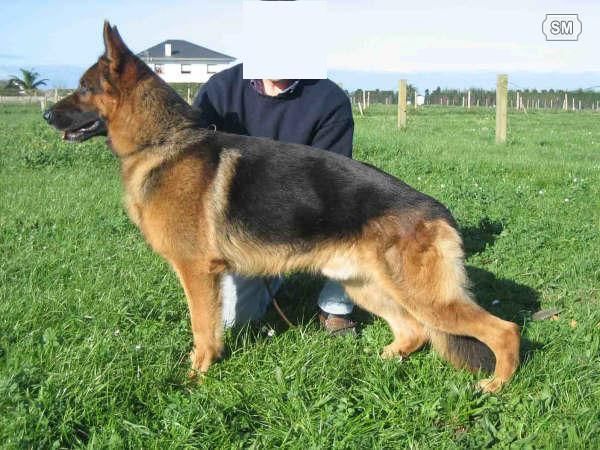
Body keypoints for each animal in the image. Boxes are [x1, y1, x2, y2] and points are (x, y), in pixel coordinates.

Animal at [43, 22, 520, 392]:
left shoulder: (196, 272)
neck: (163, 140)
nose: (46, 115)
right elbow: (209, 328)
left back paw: (495, 385)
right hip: (367, 286)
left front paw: (196, 378)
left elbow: (201, 329)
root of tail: (439, 212)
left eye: (83, 88)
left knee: (504, 331)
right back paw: (382, 361)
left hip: (423, 296)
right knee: (415, 331)